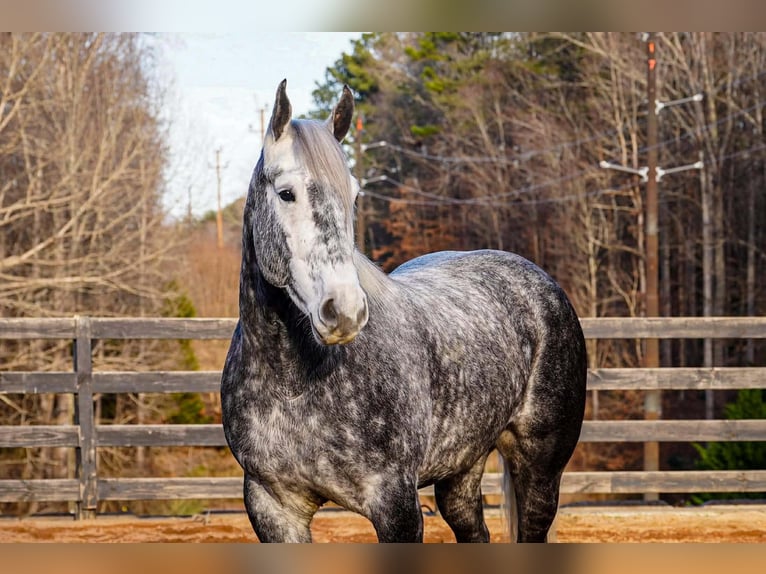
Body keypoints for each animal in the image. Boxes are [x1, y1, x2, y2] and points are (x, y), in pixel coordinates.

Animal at [220, 79, 587, 543]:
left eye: (354, 195)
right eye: (287, 193)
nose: (344, 310)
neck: (294, 385)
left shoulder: (395, 504)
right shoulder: (272, 506)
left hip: (540, 470)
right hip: (461, 470)